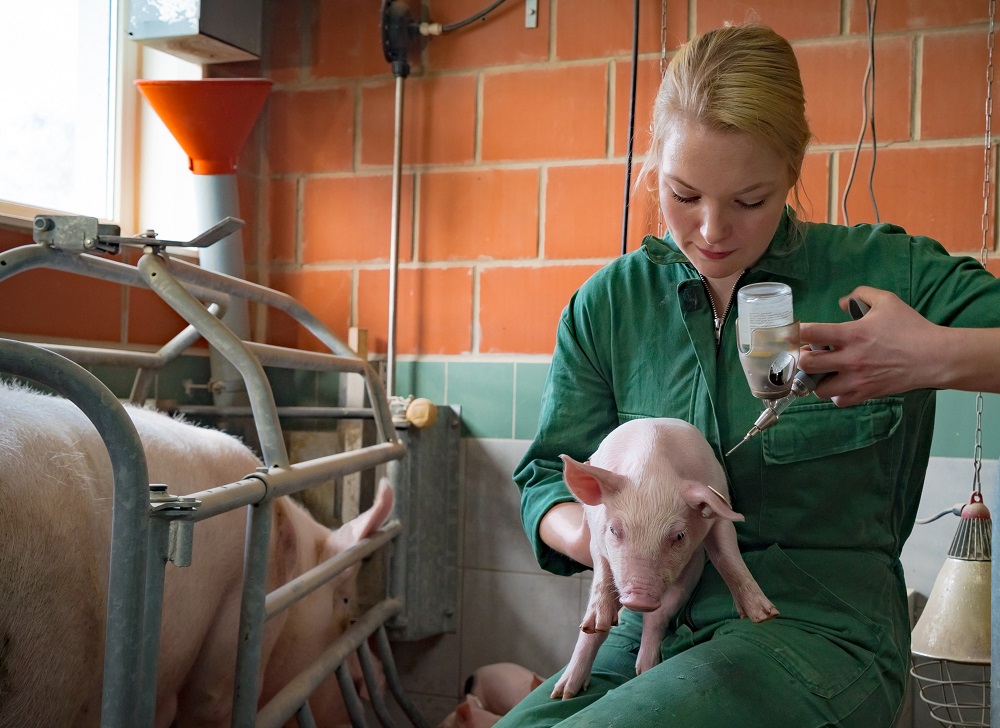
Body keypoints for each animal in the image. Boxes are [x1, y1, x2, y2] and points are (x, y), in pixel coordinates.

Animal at [551, 417, 778, 700]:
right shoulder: (595, 535)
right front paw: (597, 624)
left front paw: (766, 615)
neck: (653, 468)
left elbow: (726, 558)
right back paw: (563, 691)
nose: (638, 598)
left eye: (679, 536)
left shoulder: (710, 530)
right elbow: (602, 574)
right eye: (614, 530)